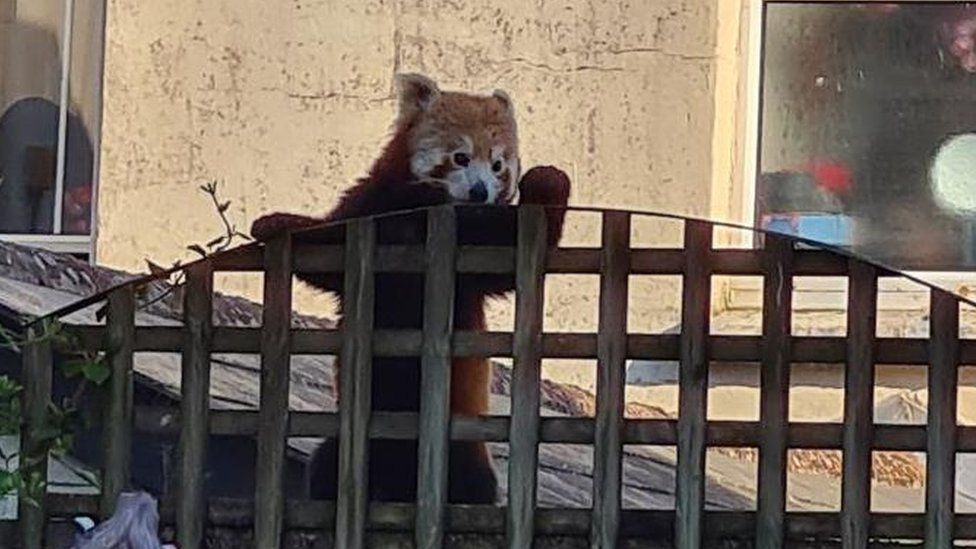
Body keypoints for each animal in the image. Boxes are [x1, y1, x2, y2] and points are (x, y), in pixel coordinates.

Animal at [252, 75, 572, 504]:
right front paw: (272, 223)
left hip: (464, 451)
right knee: (324, 471)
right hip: (346, 447)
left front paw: (548, 181)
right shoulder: (370, 207)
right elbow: (327, 253)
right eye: (460, 157)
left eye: (499, 166)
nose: (480, 192)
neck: (421, 213)